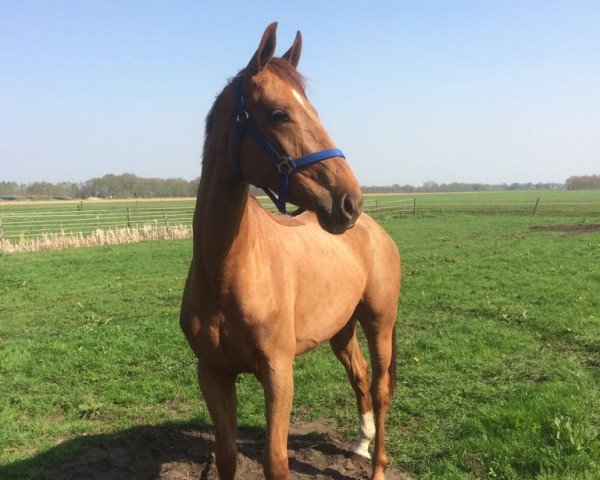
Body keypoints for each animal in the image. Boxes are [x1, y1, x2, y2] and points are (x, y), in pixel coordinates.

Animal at [180, 23, 400, 480]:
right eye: (280, 113)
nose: (349, 202)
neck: (227, 270)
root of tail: (374, 231)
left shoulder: (279, 373)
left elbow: (275, 461)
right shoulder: (213, 374)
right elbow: (226, 457)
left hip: (379, 323)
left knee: (381, 387)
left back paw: (378, 465)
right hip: (341, 329)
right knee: (359, 374)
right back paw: (361, 442)